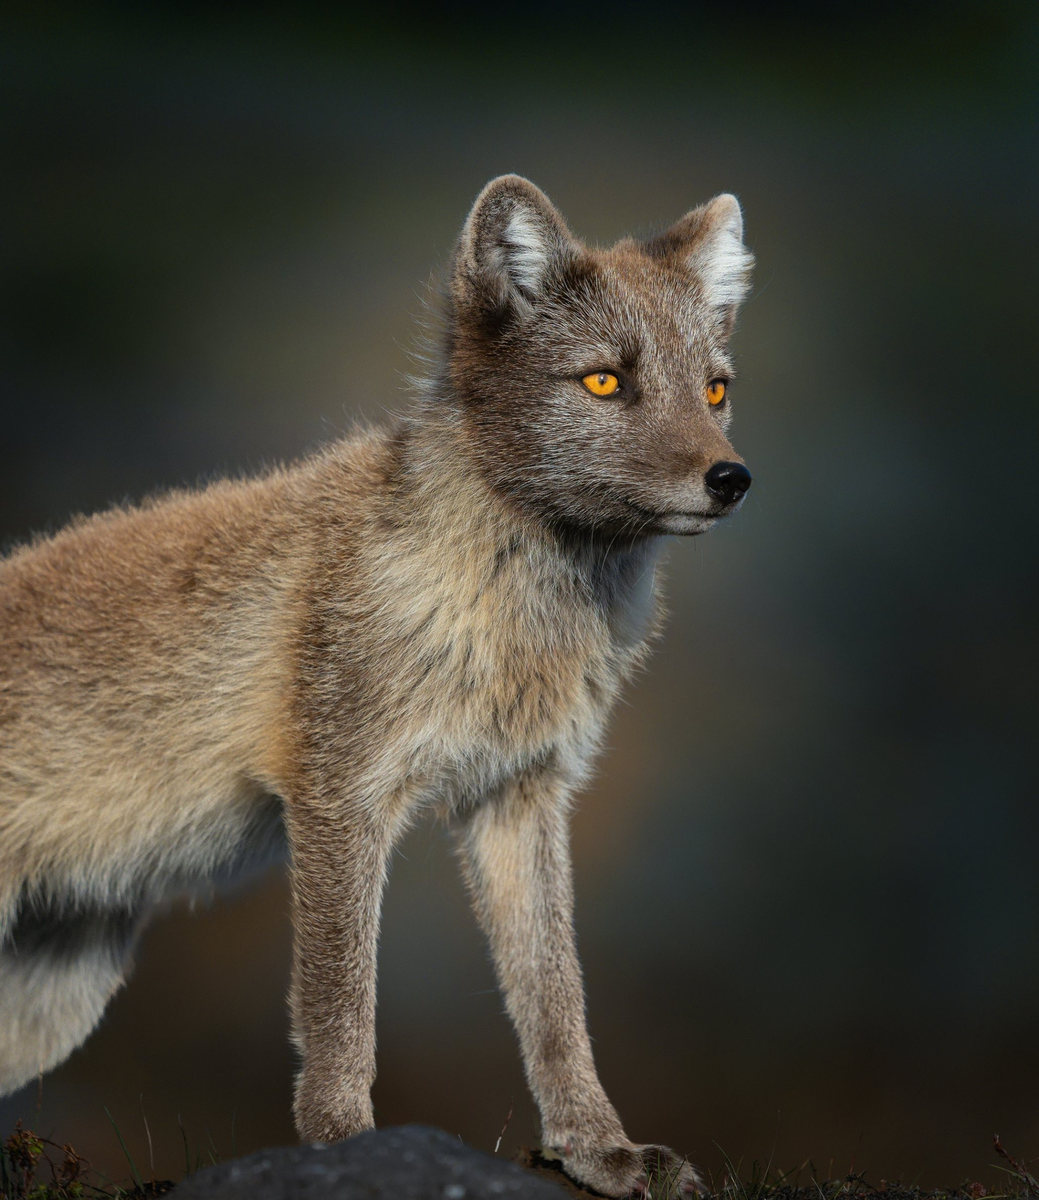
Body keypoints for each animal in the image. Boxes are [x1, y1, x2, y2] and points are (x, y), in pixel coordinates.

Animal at [0, 175, 753, 1196]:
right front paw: (344, 1148)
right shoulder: (339, 795)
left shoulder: (519, 796)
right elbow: (338, 1010)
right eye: (606, 381)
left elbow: (557, 1003)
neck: (500, 613)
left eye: (714, 389)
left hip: (57, 1001)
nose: (731, 478)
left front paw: (597, 1151)